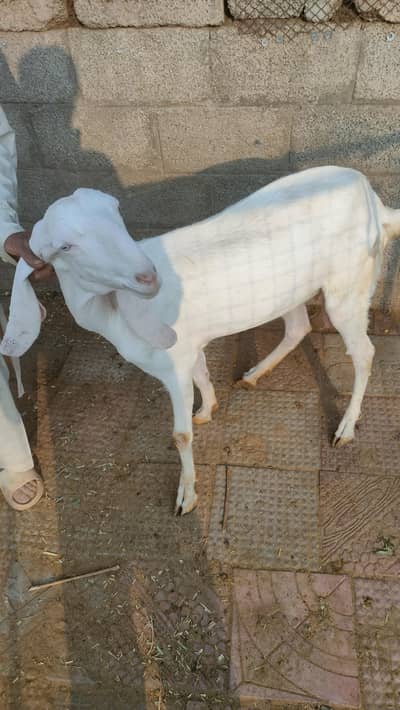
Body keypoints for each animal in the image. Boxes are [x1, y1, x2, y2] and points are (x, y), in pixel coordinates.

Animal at [2, 166, 400, 514]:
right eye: (65, 247)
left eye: (117, 214)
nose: (148, 276)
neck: (115, 312)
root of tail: (375, 202)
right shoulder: (185, 347)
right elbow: (202, 374)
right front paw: (207, 410)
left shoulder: (172, 361)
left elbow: (180, 435)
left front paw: (186, 498)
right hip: (289, 289)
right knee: (298, 327)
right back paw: (254, 373)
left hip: (349, 283)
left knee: (364, 352)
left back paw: (345, 428)